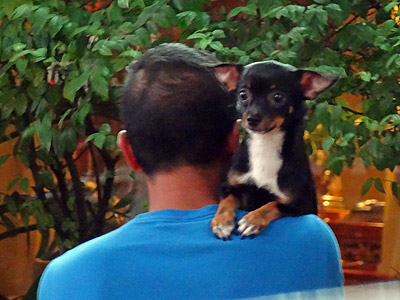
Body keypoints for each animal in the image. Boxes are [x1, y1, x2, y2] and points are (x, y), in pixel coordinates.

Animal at [209, 61, 338, 239]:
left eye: (278, 97)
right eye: (243, 95)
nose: (252, 119)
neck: (265, 144)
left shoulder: (302, 206)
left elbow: (273, 204)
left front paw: (252, 220)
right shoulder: (229, 186)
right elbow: (226, 200)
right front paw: (221, 222)